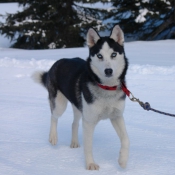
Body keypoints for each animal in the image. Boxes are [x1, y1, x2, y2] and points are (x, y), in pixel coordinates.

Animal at [32, 25, 129, 170]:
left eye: (113, 54)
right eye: (99, 56)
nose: (108, 71)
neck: (106, 88)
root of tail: (56, 63)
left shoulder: (116, 116)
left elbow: (126, 139)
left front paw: (122, 160)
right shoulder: (89, 122)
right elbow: (88, 146)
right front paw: (90, 164)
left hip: (78, 106)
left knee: (74, 123)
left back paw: (74, 142)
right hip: (60, 104)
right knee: (54, 117)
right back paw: (53, 137)